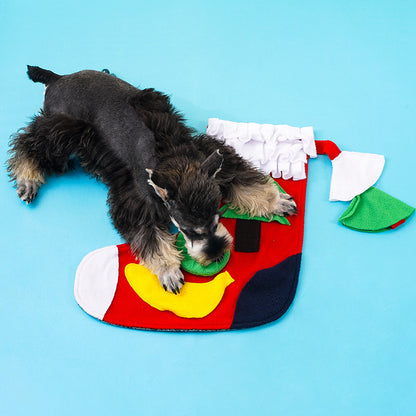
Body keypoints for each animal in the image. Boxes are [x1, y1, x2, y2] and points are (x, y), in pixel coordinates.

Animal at [7, 66, 300, 292]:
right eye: (188, 230)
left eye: (218, 218)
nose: (216, 254)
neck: (171, 159)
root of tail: (58, 78)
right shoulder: (137, 202)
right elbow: (151, 237)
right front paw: (168, 269)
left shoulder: (213, 159)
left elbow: (246, 180)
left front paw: (275, 201)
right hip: (62, 128)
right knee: (29, 143)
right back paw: (27, 179)